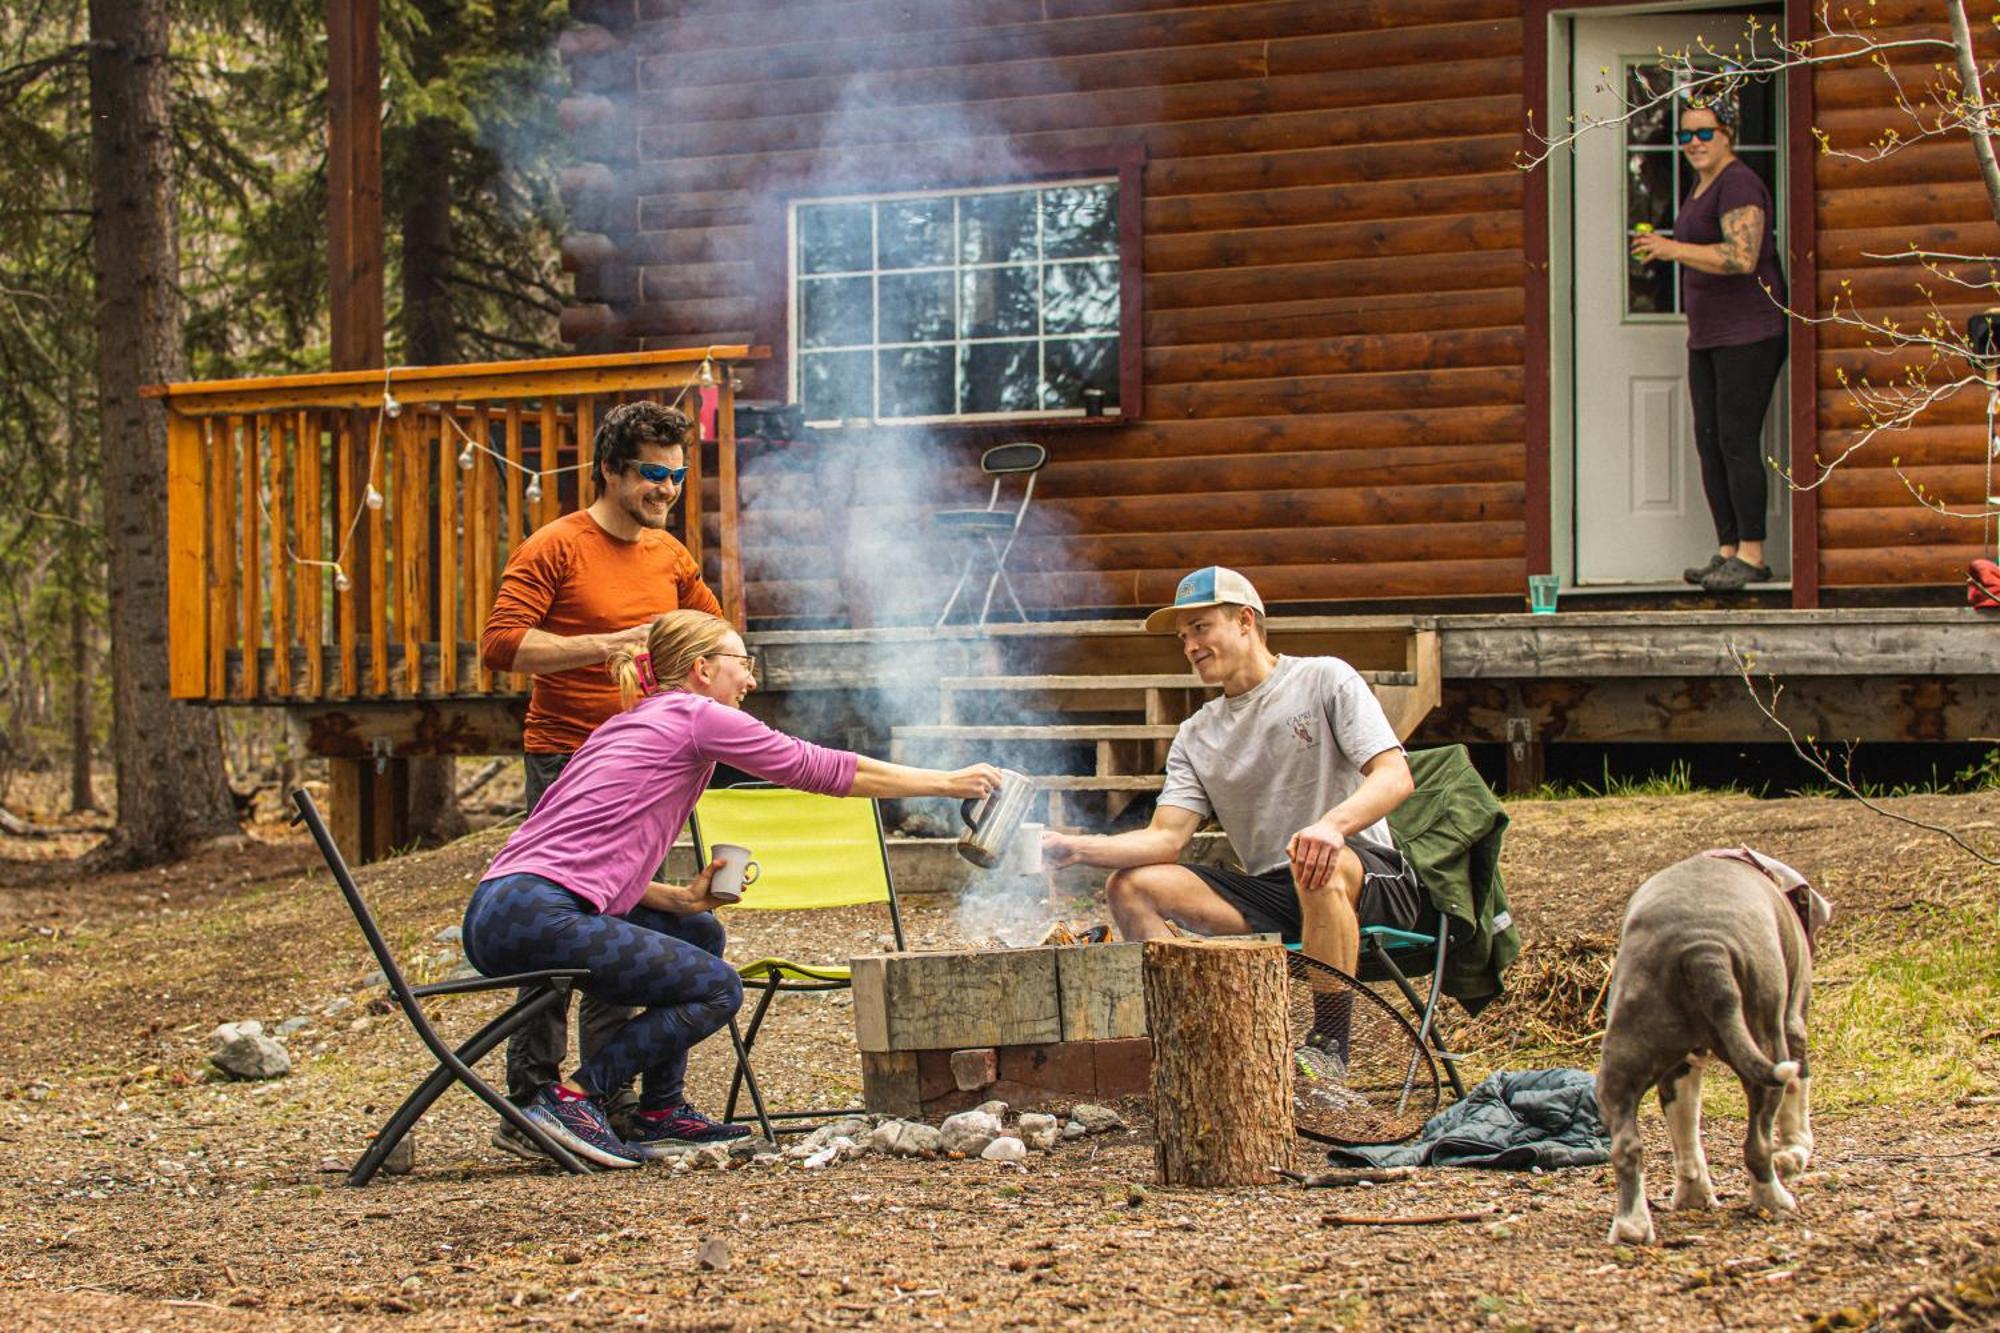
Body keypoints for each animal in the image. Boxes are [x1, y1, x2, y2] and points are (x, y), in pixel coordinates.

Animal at [1592, 844, 1832, 1240]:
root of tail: (1703, 949)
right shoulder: (1794, 1025)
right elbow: (1798, 1100)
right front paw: (1795, 1152)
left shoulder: (1681, 1068)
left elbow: (1685, 1129)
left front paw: (1693, 1196)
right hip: (1767, 1044)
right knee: (1758, 1142)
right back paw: (1774, 1200)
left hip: (1623, 1059)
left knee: (1626, 1147)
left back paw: (1632, 1226)